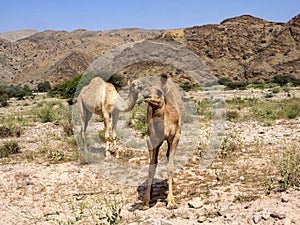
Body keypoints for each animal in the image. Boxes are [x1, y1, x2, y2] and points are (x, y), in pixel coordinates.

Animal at [142, 74, 184, 209]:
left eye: (159, 92)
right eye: (147, 89)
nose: (146, 96)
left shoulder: (176, 136)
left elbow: (170, 165)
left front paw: (171, 201)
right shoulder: (150, 138)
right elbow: (151, 166)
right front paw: (145, 201)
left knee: (168, 157)